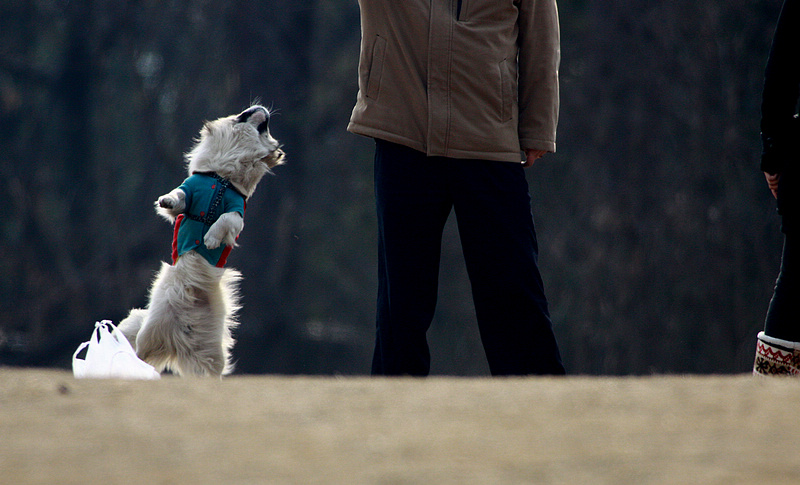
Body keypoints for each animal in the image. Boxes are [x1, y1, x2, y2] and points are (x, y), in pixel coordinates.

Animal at [116, 105, 284, 378]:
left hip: (210, 358)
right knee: (138, 349)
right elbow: (178, 197)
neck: (222, 178)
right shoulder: (189, 192)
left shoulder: (237, 213)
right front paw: (166, 201)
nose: (259, 107)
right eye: (242, 113)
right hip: (148, 332)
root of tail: (178, 340)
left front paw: (211, 238)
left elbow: (224, 219)